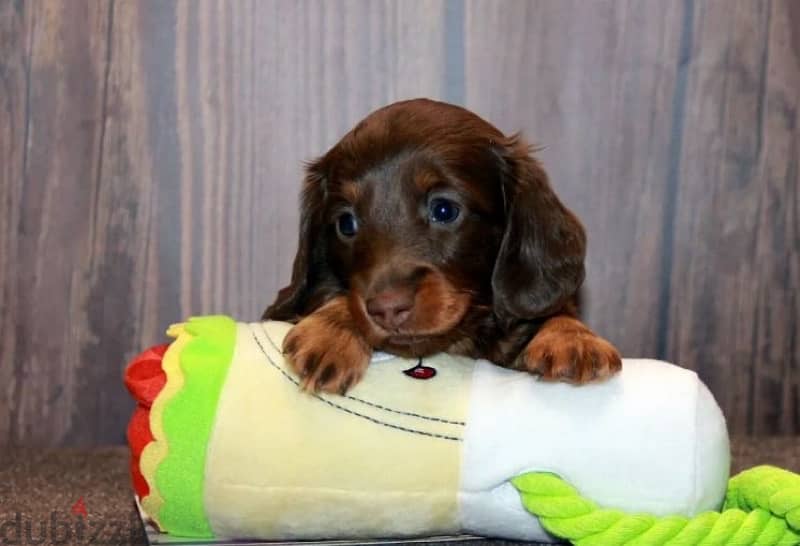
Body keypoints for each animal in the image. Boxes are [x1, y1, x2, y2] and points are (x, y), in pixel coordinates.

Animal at [262, 98, 620, 392]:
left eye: (444, 210)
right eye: (346, 223)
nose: (387, 309)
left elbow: (559, 311)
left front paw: (573, 338)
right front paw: (332, 331)